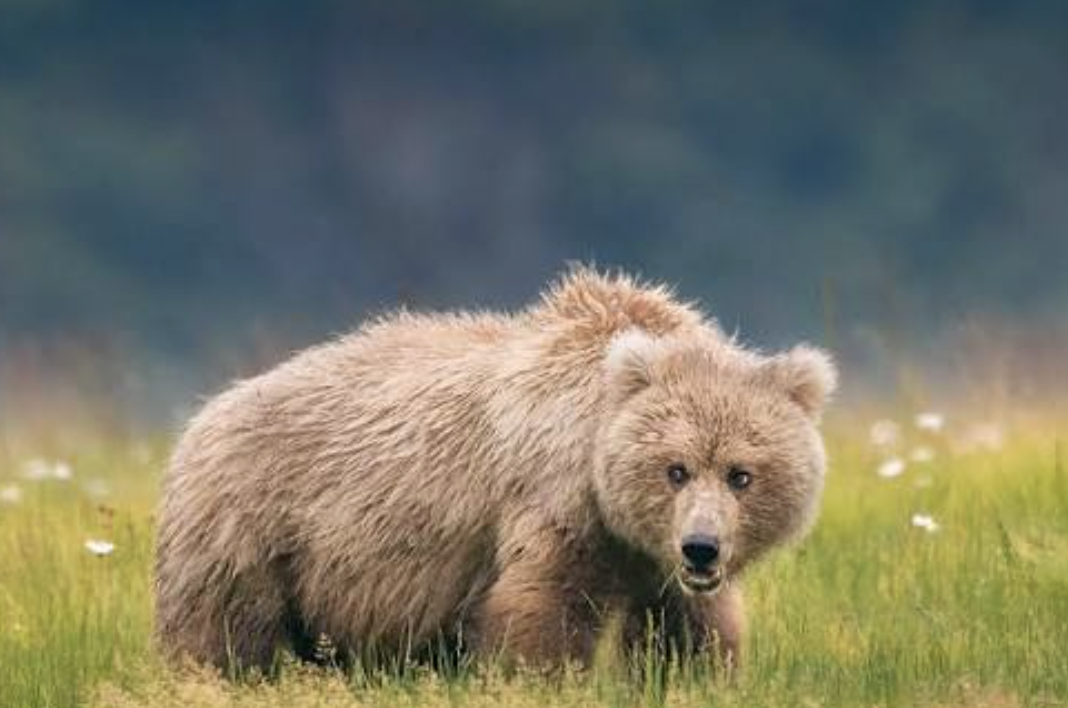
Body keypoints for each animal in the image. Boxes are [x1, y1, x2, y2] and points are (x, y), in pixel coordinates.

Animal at [154, 267, 836, 673]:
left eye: (741, 474)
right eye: (675, 468)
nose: (701, 547)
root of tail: (200, 416)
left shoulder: (655, 566)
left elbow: (687, 633)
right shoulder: (557, 501)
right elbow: (543, 610)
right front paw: (540, 678)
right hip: (255, 532)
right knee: (222, 640)